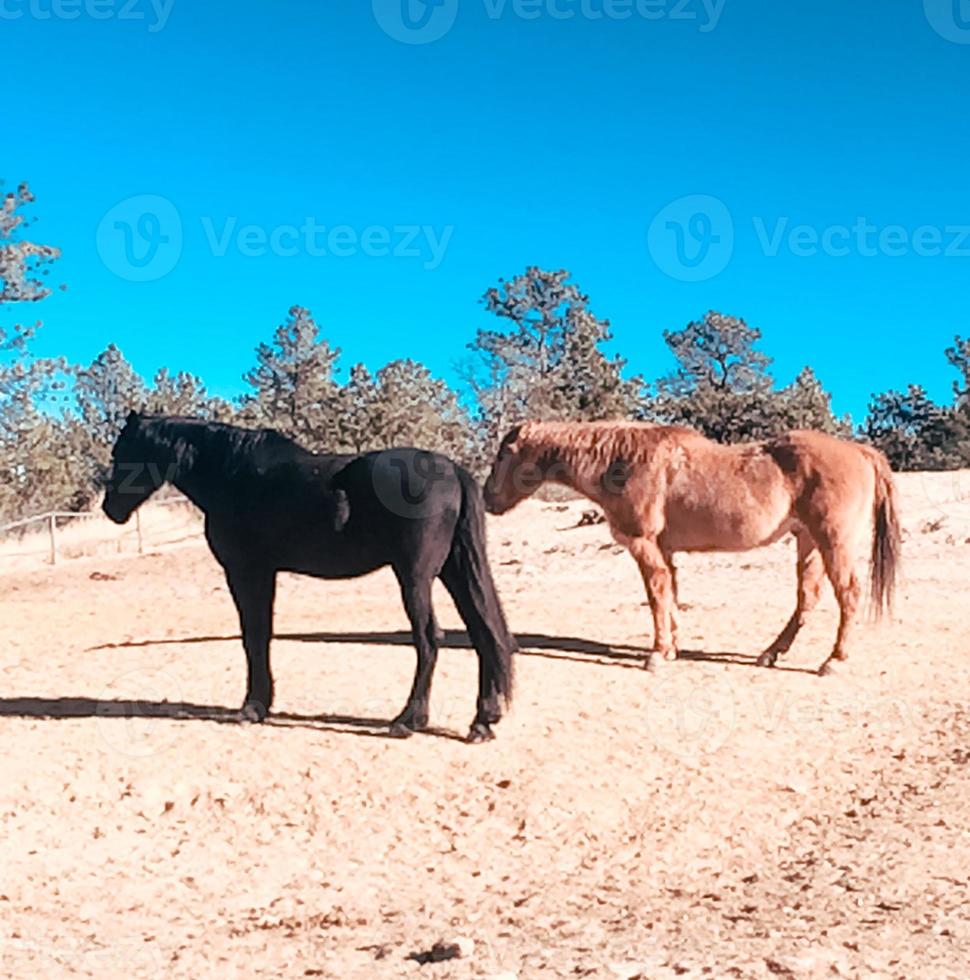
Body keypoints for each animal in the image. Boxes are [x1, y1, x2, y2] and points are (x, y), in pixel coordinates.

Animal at [100, 414, 516, 744]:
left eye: (121, 454)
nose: (109, 510)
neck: (232, 476)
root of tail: (452, 471)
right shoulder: (264, 574)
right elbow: (262, 635)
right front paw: (261, 704)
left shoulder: (245, 572)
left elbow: (252, 637)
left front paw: (251, 707)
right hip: (453, 572)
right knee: (484, 634)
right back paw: (483, 722)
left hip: (415, 578)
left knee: (430, 639)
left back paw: (407, 720)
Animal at [484, 418, 900, 676]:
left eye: (504, 454)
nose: (488, 499)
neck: (621, 460)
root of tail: (860, 451)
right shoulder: (665, 550)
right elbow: (669, 594)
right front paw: (671, 647)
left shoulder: (644, 545)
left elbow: (656, 595)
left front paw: (656, 654)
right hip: (808, 542)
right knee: (807, 599)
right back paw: (770, 653)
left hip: (833, 542)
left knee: (848, 595)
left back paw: (834, 660)